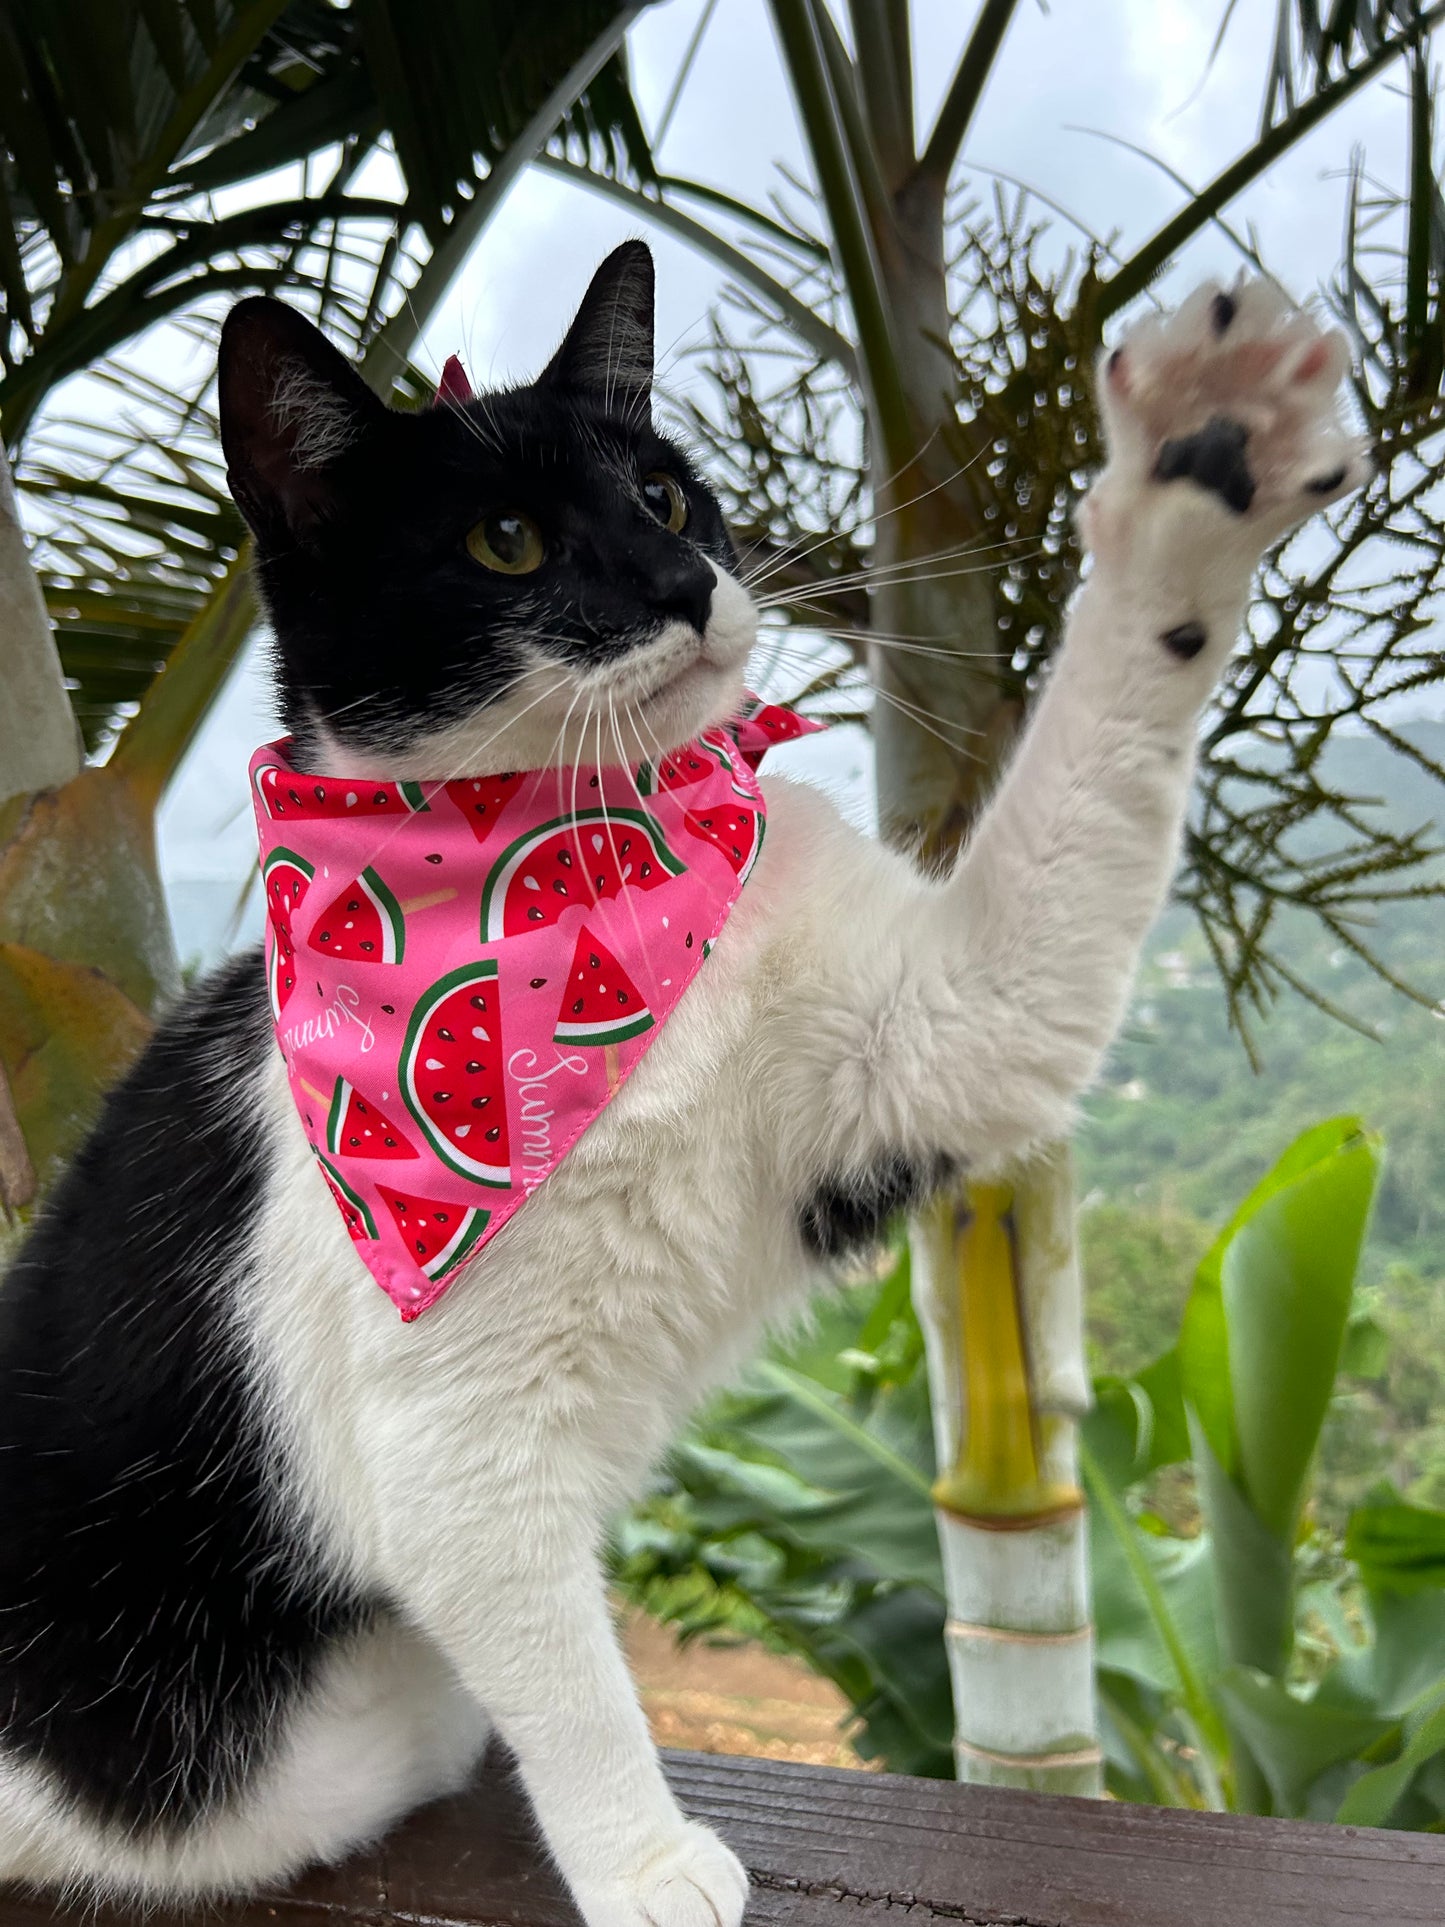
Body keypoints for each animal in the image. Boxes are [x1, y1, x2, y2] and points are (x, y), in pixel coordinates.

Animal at [0, 240, 1371, 1911]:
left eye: (661, 493)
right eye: (507, 538)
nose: (688, 586)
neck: (579, 877)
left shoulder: (932, 1038)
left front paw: (1198, 469)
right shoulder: (450, 1445)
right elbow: (566, 1668)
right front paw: (643, 1857)